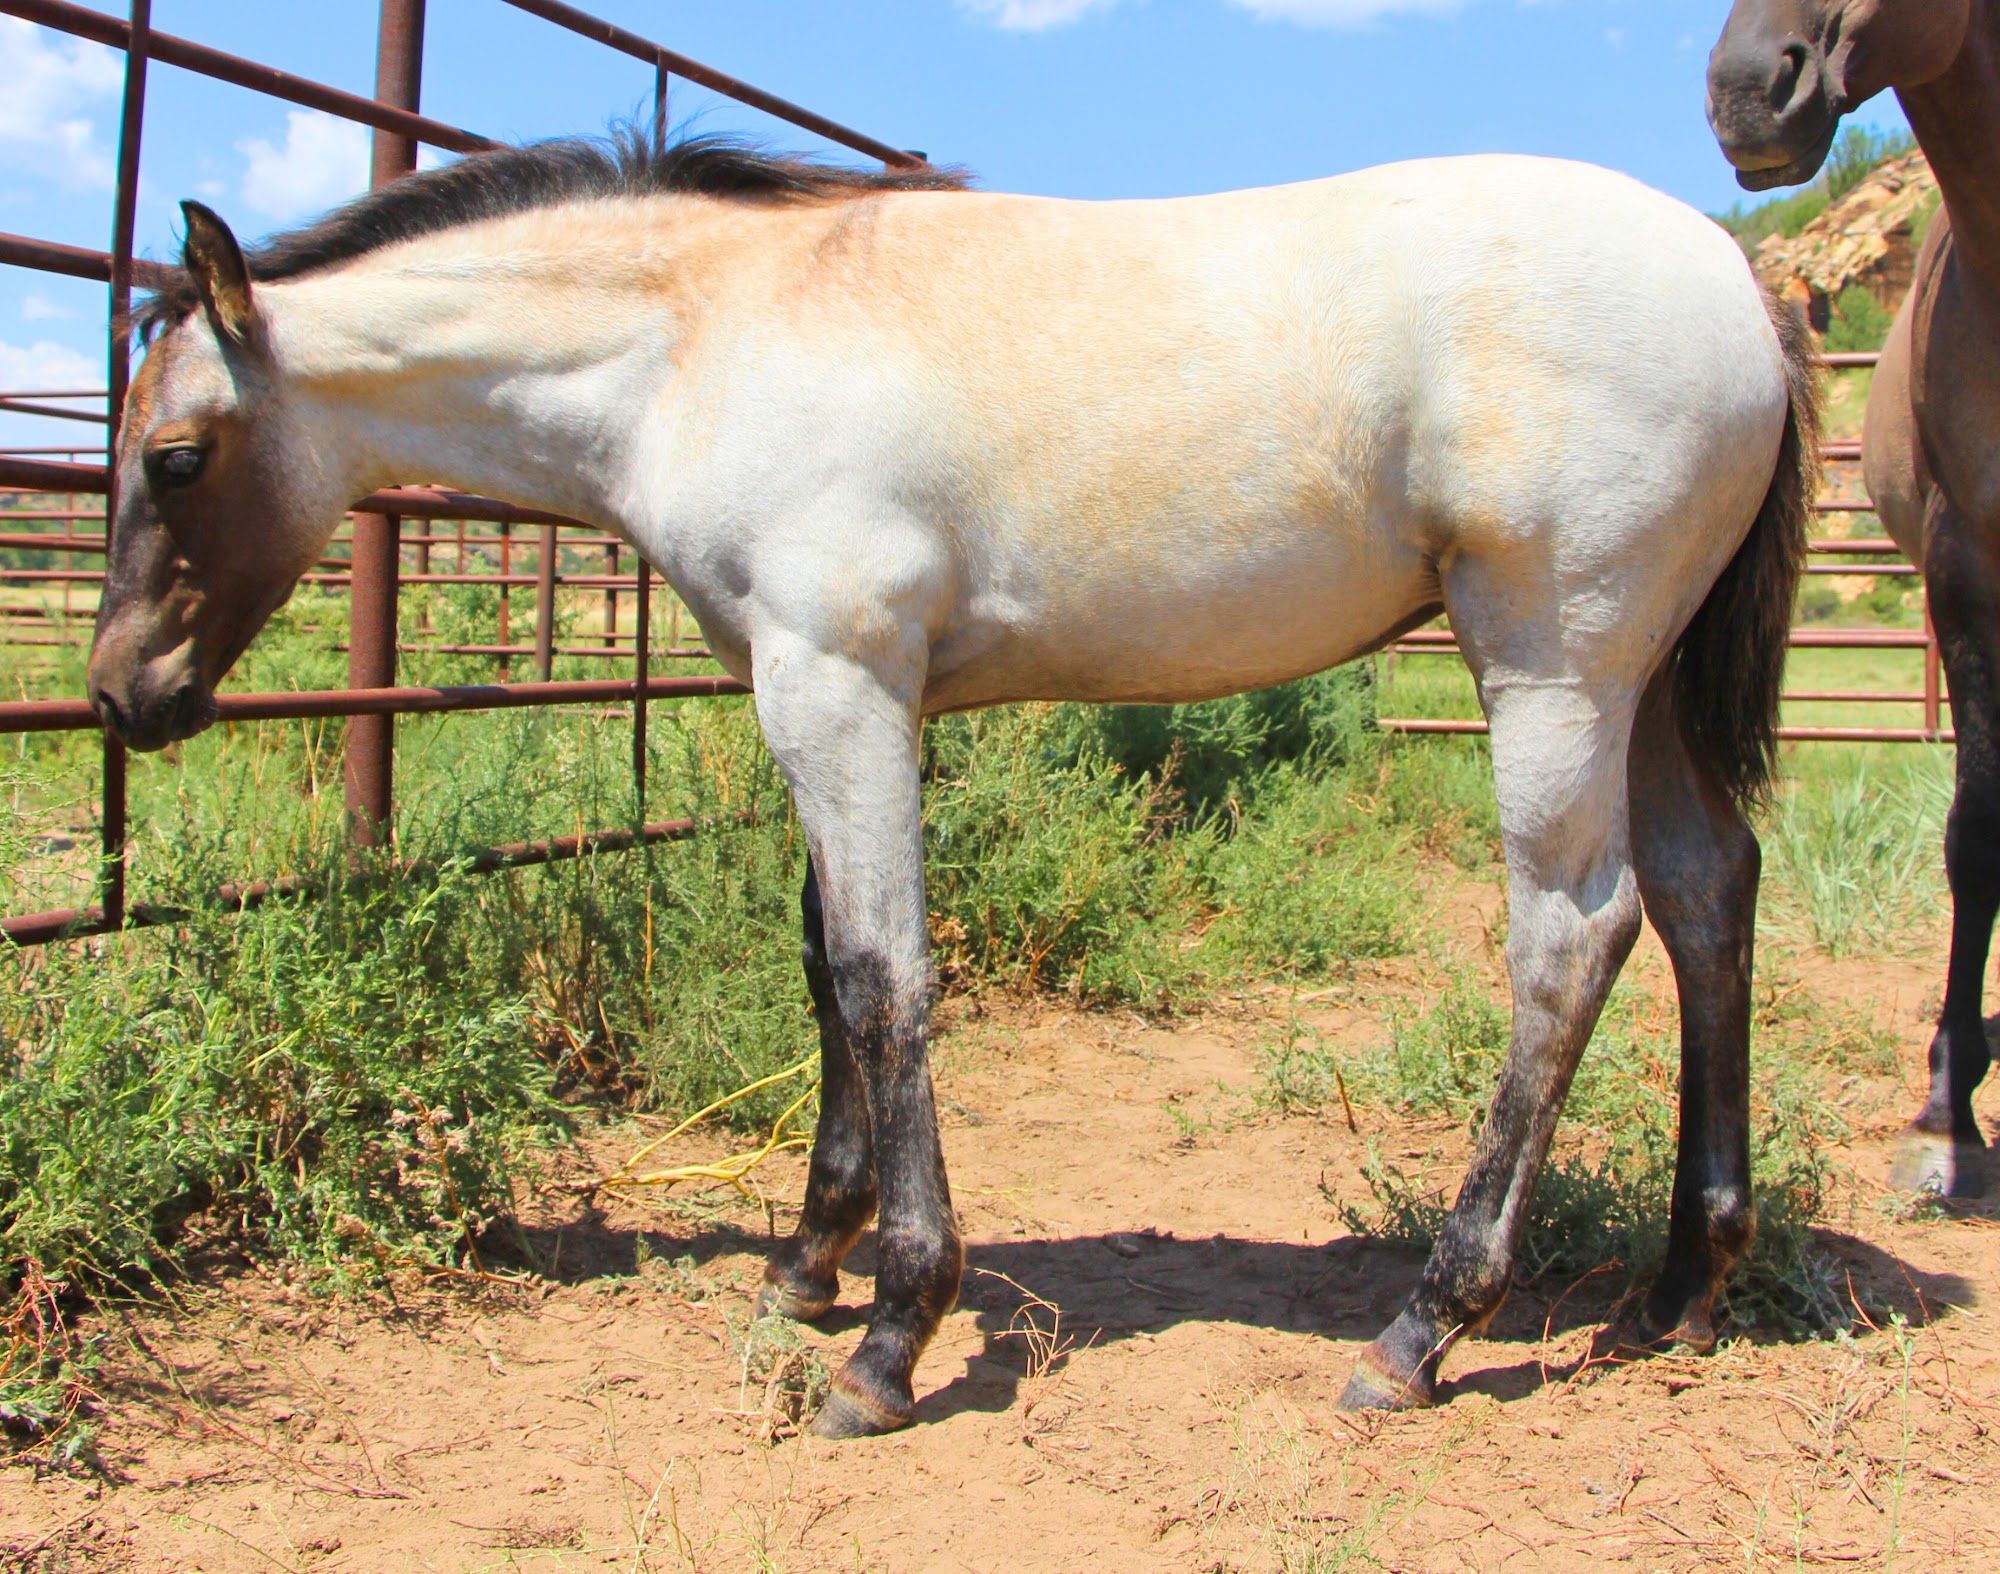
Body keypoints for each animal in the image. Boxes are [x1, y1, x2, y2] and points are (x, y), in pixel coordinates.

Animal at [85, 133, 1817, 1432]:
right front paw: (807, 1257)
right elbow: (824, 959)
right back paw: (1683, 1285)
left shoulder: (836, 681)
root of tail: (1739, 274)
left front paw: (891, 1332)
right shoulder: (830, 689)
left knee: (1572, 934)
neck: (710, 332)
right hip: (1643, 682)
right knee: (1705, 892)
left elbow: (882, 973)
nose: (120, 695)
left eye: (173, 455)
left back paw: (1424, 1327)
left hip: (1555, 663)